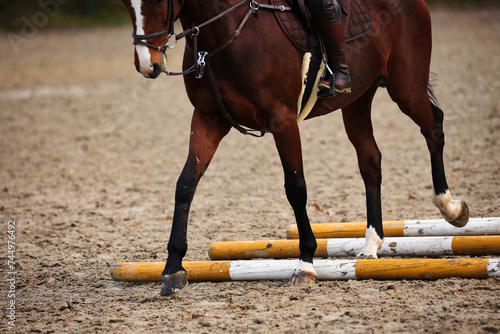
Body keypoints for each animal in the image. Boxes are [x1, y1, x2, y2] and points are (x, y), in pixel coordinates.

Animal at [121, 0, 468, 294]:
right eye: (127, 3)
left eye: (158, 1)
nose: (147, 65)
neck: (227, 33)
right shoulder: (208, 119)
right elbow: (186, 184)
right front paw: (172, 270)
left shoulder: (283, 121)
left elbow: (296, 188)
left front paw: (305, 265)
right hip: (357, 101)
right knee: (371, 160)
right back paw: (371, 245)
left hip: (405, 87)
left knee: (433, 128)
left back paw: (451, 209)